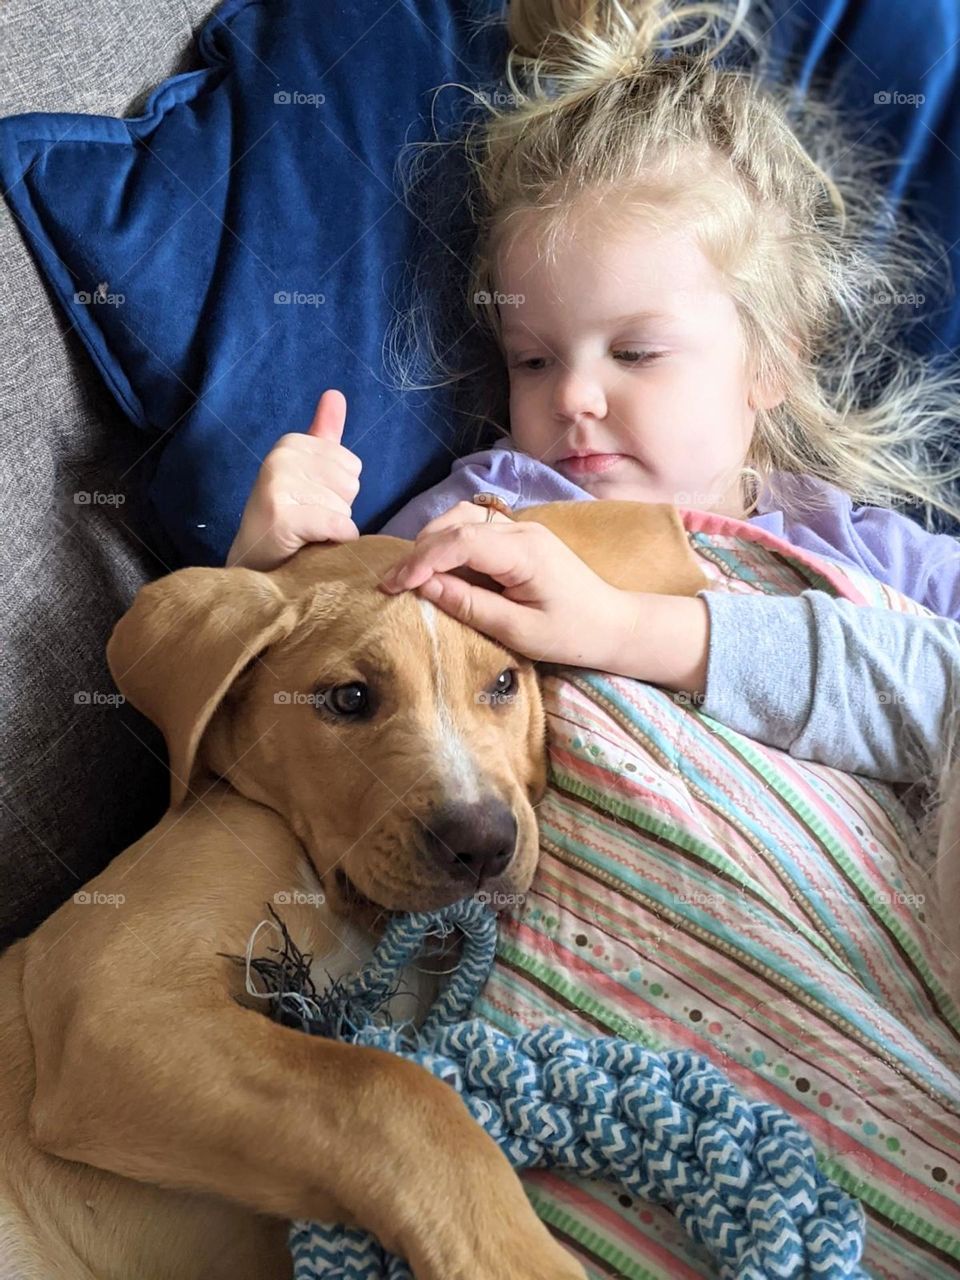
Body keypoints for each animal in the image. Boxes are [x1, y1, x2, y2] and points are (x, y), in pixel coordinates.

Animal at [0, 499, 706, 1280]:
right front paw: (517, 1259)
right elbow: (385, 1088)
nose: (484, 844)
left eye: (503, 683)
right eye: (348, 698)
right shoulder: (110, 1001)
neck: (346, 912)